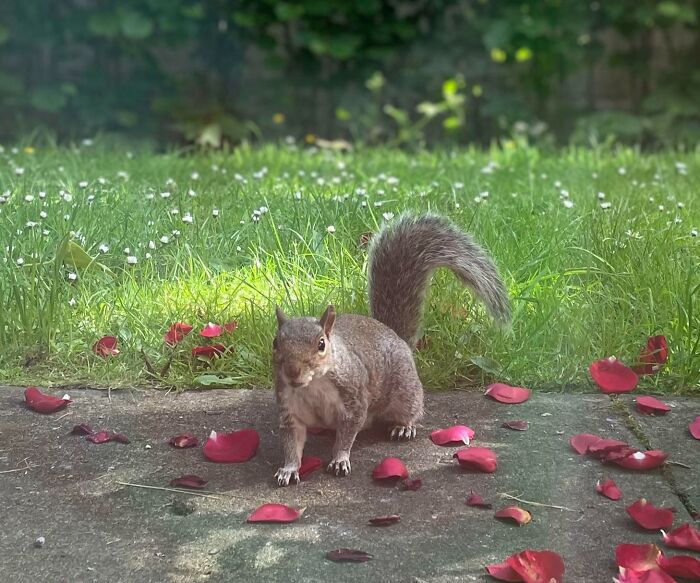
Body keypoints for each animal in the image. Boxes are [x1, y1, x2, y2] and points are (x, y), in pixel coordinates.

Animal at [273, 213, 511, 486]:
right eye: (275, 342)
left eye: (321, 344)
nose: (292, 372)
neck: (313, 386)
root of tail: (396, 337)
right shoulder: (289, 409)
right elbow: (291, 443)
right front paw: (289, 468)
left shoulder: (354, 400)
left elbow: (347, 434)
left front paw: (340, 458)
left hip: (405, 391)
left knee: (410, 409)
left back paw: (403, 426)